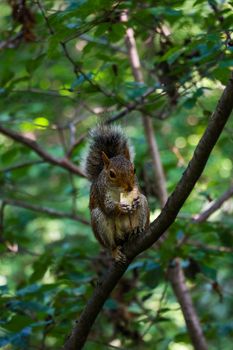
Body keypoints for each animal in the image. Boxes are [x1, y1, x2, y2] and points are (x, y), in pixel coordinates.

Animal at [84, 124, 150, 262]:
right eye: (112, 174)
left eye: (134, 169)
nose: (129, 187)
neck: (118, 191)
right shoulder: (101, 193)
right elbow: (108, 208)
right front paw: (120, 207)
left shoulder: (137, 187)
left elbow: (138, 196)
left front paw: (135, 201)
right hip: (100, 222)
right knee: (112, 243)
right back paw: (114, 251)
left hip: (144, 210)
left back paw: (136, 230)